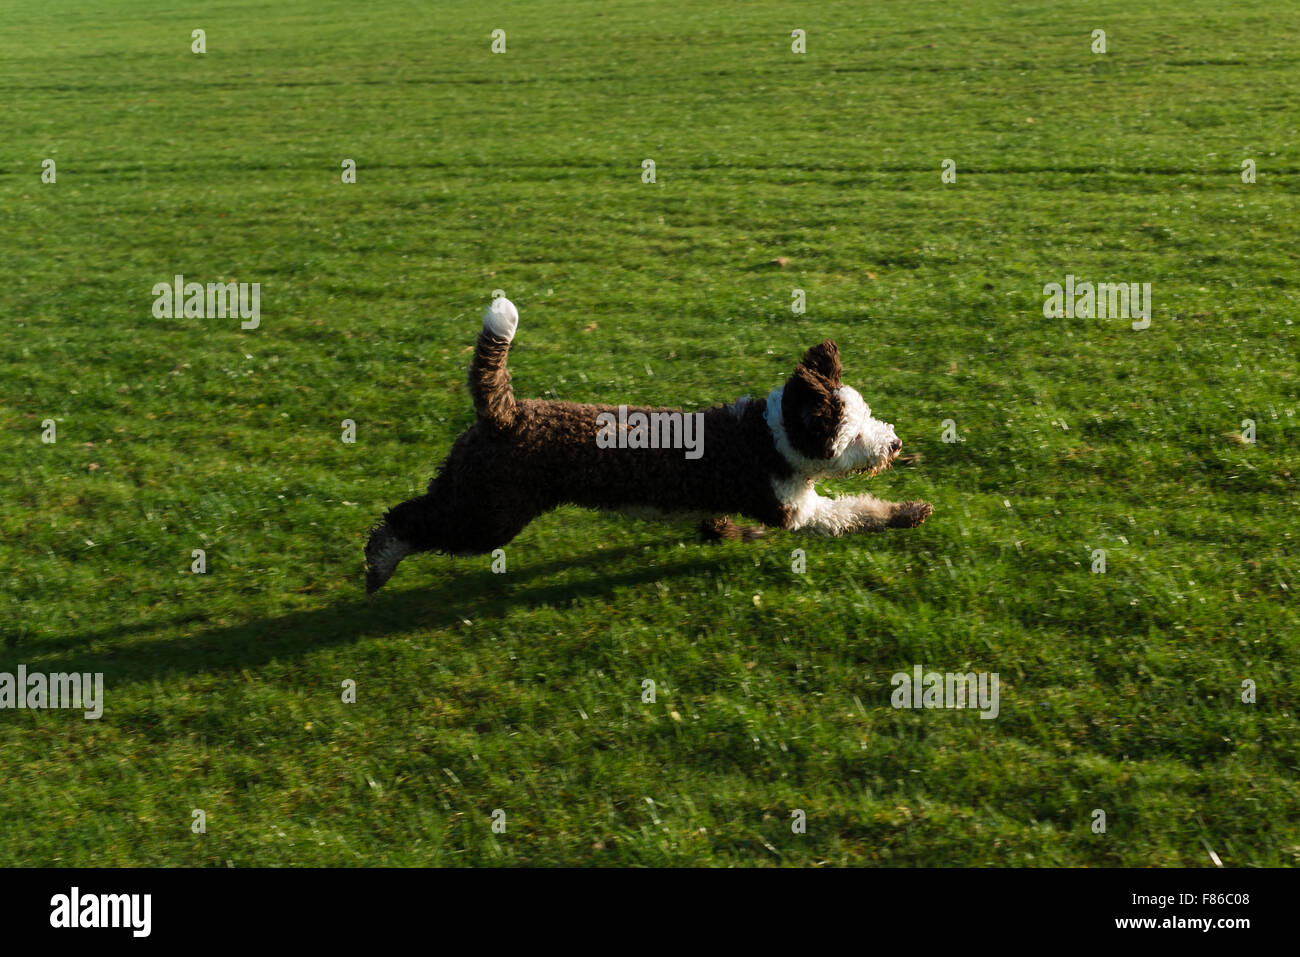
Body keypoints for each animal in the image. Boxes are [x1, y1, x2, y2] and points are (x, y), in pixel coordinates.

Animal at [366, 295, 935, 595]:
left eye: (869, 415)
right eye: (853, 432)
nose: (894, 443)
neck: (768, 436)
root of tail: (505, 409)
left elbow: (717, 524)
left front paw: (727, 535)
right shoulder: (795, 508)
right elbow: (855, 513)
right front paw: (909, 511)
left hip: (468, 483)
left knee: (412, 508)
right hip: (490, 514)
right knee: (404, 522)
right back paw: (379, 564)